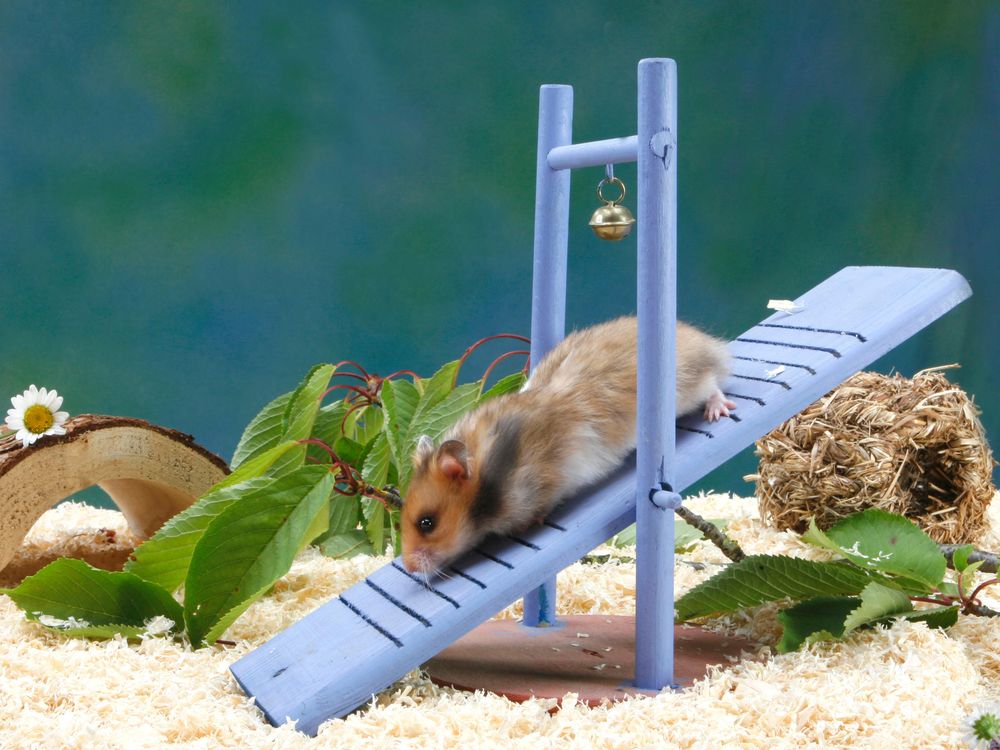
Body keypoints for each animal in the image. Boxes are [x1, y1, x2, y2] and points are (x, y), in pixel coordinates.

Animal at [400, 316, 734, 575]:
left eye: (427, 523)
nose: (409, 568)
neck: (489, 479)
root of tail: (703, 341)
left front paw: (527, 525)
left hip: (688, 387)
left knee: (713, 384)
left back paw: (718, 410)